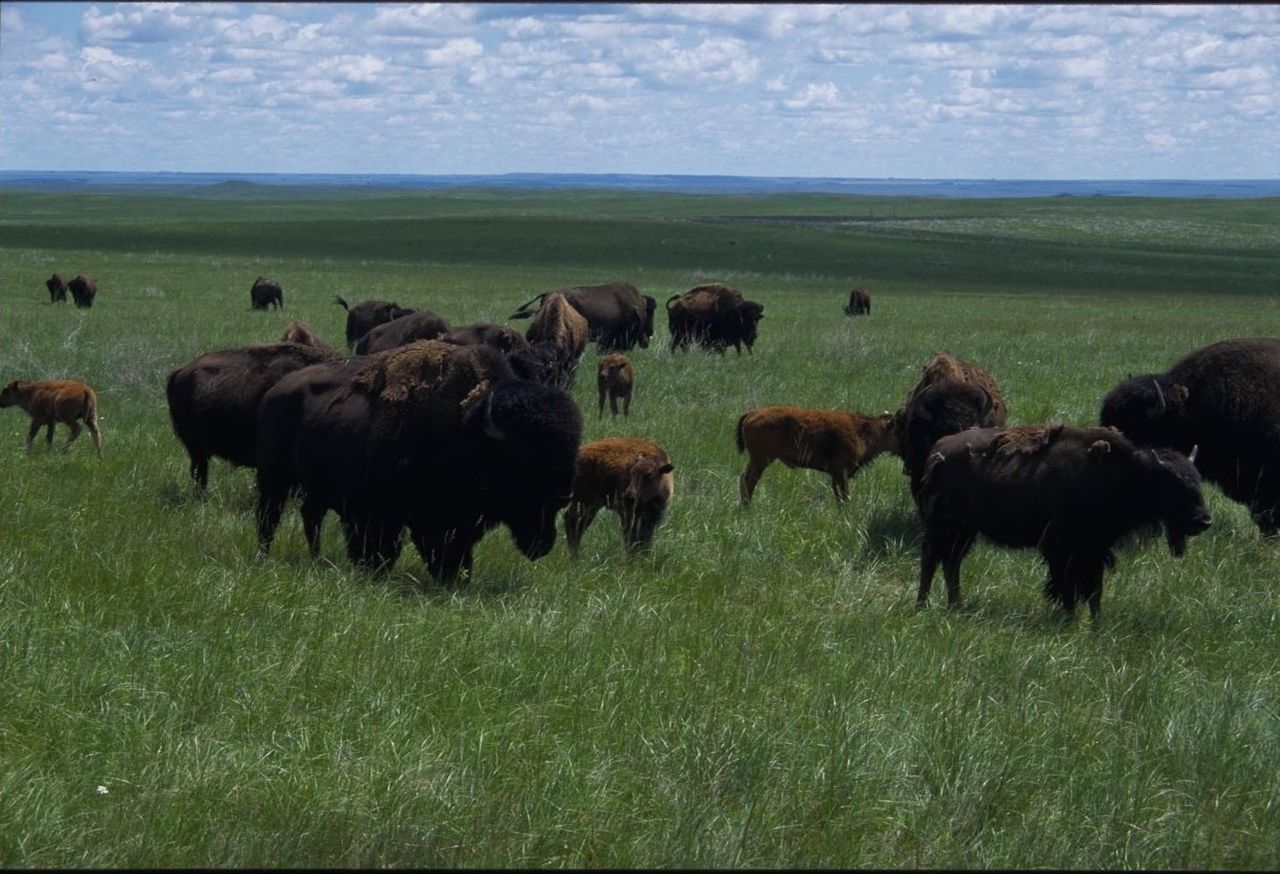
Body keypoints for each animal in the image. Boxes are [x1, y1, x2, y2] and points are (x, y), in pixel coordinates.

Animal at [254, 340, 582, 581]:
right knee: (269, 519)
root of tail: (275, 391)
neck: (465, 429)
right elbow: (383, 547)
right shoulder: (382, 514)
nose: (562, 496)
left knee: (310, 516)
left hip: (315, 488)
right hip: (274, 479)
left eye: (569, 450)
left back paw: (316, 557)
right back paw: (266, 557)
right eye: (524, 457)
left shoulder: (455, 522)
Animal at [917, 424, 1211, 619]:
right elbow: (1068, 588)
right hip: (943, 526)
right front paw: (1070, 621)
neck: (1128, 475)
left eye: (1198, 480)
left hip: (964, 531)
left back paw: (956, 606)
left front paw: (1095, 625)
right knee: (931, 560)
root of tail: (939, 448)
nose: (1204, 521)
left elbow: (1094, 591)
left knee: (951, 562)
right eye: (1173, 484)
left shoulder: (1093, 550)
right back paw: (923, 604)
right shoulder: (1063, 550)